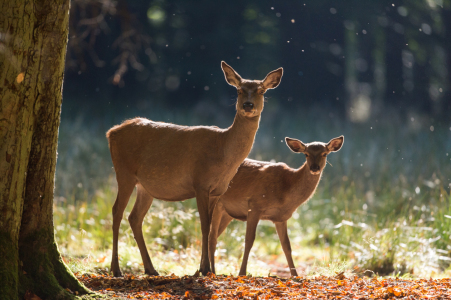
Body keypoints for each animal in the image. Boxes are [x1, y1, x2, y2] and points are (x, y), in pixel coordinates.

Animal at [106, 61, 282, 276]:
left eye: (261, 90)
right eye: (239, 90)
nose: (248, 105)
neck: (223, 152)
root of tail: (111, 132)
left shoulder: (217, 191)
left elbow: (211, 229)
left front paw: (203, 269)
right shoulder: (200, 182)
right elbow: (204, 225)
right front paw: (204, 269)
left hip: (145, 186)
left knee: (134, 217)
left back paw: (151, 269)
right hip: (124, 172)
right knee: (116, 211)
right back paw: (116, 269)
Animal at [210, 136, 344, 276]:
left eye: (325, 154)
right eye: (306, 154)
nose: (314, 167)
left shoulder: (281, 217)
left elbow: (286, 246)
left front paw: (295, 275)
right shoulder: (254, 205)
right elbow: (249, 241)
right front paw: (242, 273)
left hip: (227, 213)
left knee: (213, 236)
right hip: (216, 204)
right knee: (212, 238)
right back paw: (212, 271)